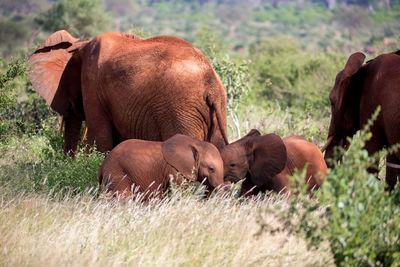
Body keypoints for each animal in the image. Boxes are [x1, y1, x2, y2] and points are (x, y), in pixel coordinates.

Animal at [28, 30, 228, 157]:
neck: (80, 47)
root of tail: (211, 84)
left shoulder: (93, 85)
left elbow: (100, 140)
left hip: (181, 111)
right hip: (212, 112)